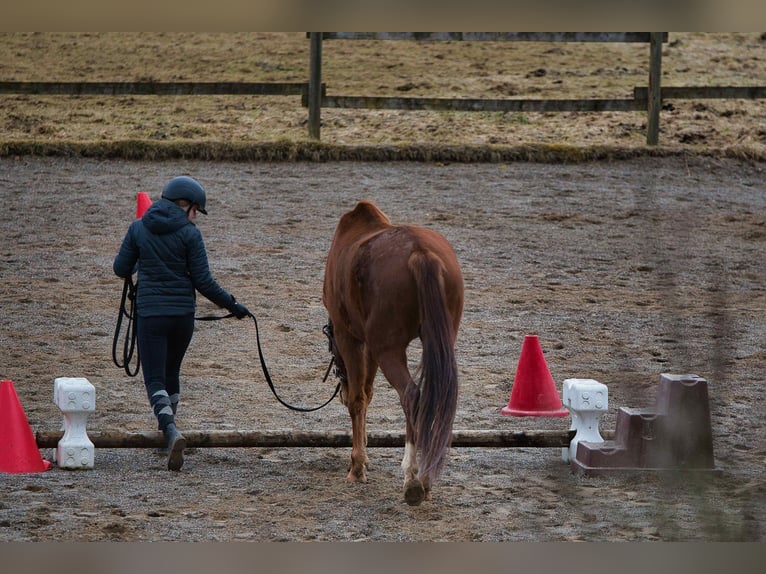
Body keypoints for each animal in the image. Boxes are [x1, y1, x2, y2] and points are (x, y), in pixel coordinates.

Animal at [322, 200, 464, 506]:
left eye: (330, 343)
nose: (340, 389)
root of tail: (421, 253)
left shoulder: (350, 338)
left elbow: (358, 399)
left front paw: (357, 466)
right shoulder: (371, 346)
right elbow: (368, 393)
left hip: (389, 350)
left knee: (411, 396)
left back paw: (413, 477)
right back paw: (426, 476)